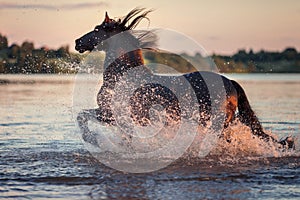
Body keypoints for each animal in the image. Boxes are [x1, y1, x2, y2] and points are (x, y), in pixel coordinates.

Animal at [75, 8, 292, 149]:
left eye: (97, 29)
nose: (77, 42)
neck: (124, 75)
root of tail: (230, 82)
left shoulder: (112, 114)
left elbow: (81, 116)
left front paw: (92, 139)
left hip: (217, 124)